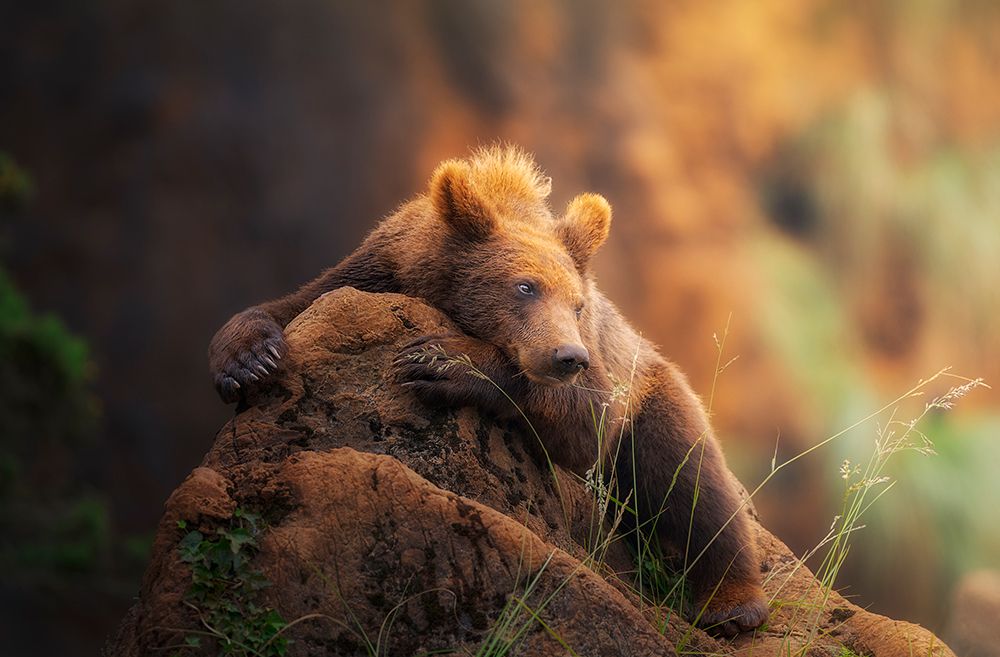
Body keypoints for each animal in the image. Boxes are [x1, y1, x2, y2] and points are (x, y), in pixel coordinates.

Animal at [208, 145, 769, 636]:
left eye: (577, 303)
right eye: (525, 287)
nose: (568, 357)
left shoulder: (601, 372)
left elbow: (585, 423)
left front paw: (440, 361)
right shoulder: (374, 271)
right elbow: (294, 304)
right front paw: (248, 358)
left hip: (653, 389)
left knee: (691, 482)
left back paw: (733, 606)